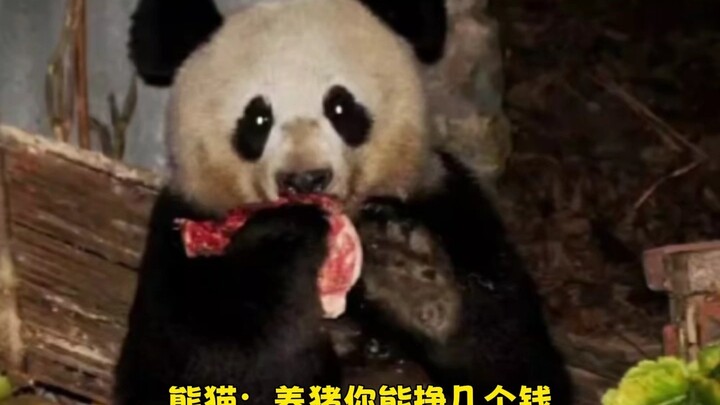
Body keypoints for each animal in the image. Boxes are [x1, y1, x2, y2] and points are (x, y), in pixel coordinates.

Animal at [114, 0, 574, 404]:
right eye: (258, 118)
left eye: (340, 107)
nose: (304, 179)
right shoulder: (179, 235)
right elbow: (209, 362)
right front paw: (287, 239)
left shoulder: (451, 205)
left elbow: (516, 357)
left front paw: (403, 269)